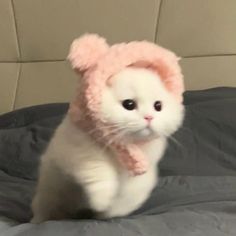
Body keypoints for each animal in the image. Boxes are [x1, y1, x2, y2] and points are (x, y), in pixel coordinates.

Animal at [30, 68, 184, 223]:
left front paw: (110, 212)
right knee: (45, 211)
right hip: (49, 196)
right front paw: (102, 201)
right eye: (129, 104)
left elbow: (130, 194)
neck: (123, 148)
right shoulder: (80, 151)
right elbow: (99, 172)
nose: (149, 117)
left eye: (158, 106)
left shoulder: (141, 174)